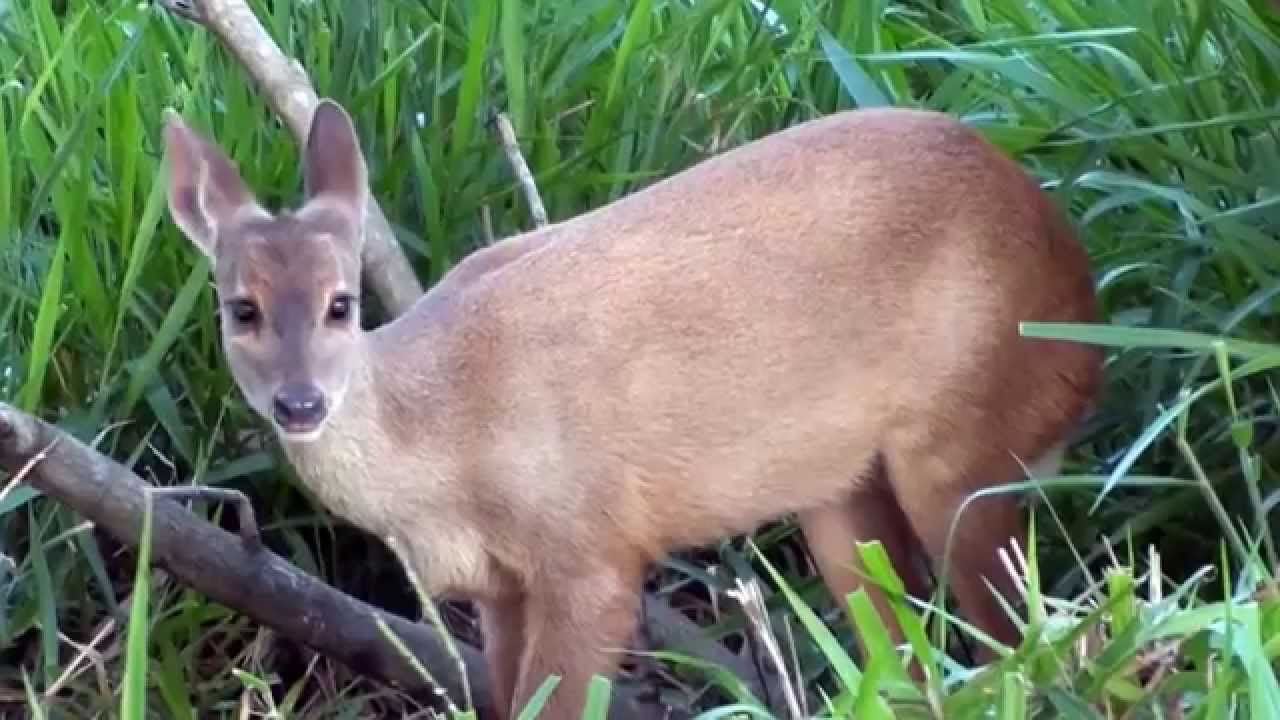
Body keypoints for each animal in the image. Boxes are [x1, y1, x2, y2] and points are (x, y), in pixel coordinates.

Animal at [162, 98, 1102, 720]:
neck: (449, 430)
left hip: (968, 439)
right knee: (908, 653)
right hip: (841, 492)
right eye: (240, 308)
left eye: (341, 304)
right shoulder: (498, 585)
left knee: (1042, 640)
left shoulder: (589, 547)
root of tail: (1081, 291)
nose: (300, 402)